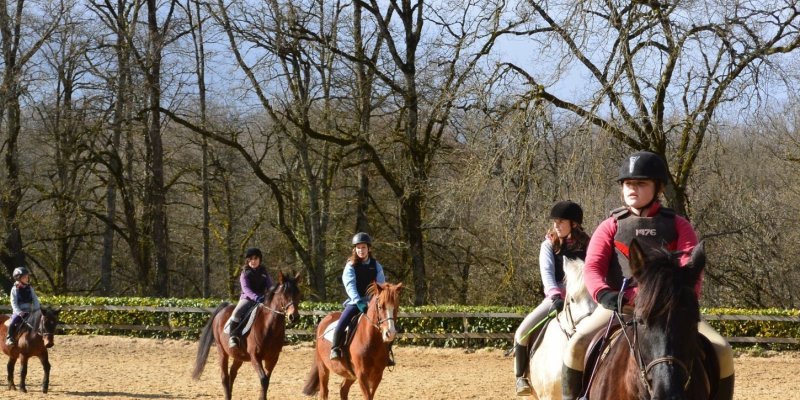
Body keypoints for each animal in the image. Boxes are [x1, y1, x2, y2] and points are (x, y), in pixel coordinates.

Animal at [192, 272, 302, 400]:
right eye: (284, 294)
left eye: (297, 293)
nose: (294, 316)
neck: (268, 326)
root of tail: (223, 309)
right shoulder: (255, 357)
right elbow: (263, 379)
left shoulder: (273, 358)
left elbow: (267, 380)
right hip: (222, 351)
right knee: (224, 376)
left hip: (239, 355)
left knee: (232, 373)